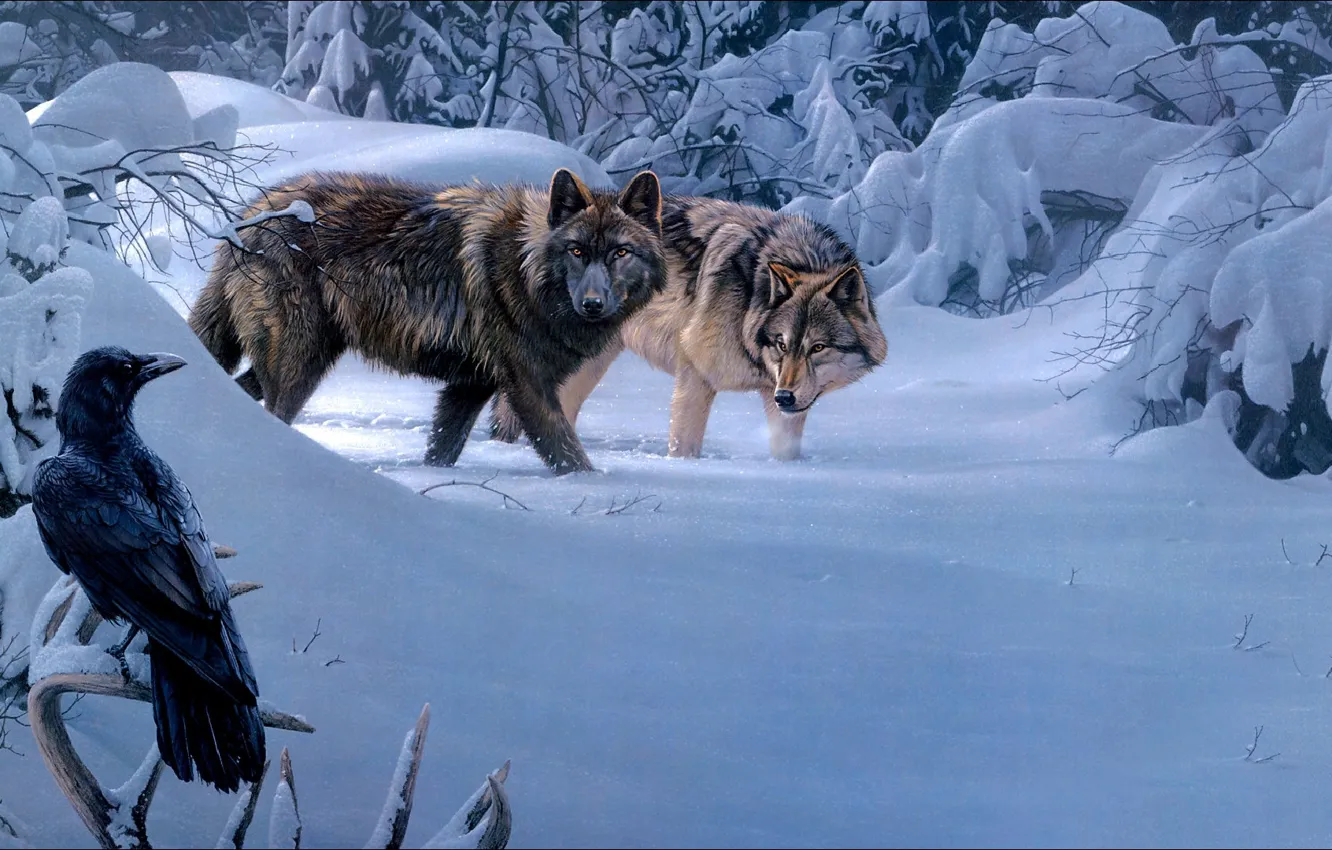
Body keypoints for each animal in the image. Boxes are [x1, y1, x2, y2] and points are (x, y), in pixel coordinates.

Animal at [188, 167, 666, 475]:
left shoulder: (471, 385)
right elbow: (568, 455)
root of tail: (248, 215)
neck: (524, 266)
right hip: (298, 365)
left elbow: (442, 448)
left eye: (620, 253)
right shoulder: (527, 386)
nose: (593, 304)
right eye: (577, 251)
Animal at [490, 196, 887, 460]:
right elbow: (684, 446)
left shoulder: (776, 395)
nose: (785, 397)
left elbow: (786, 451)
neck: (751, 298)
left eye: (817, 347)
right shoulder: (695, 375)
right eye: (782, 343)